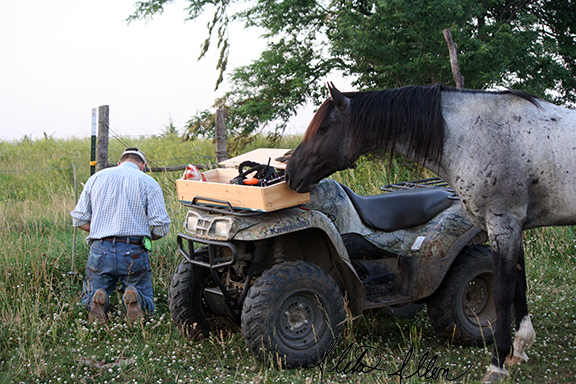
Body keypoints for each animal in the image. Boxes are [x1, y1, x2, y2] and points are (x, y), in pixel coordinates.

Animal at [284, 82, 576, 382]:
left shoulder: (503, 223)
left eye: (323, 128)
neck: (480, 137)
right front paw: (520, 348)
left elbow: (504, 292)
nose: (290, 174)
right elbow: (520, 285)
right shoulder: (513, 226)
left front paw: (497, 364)